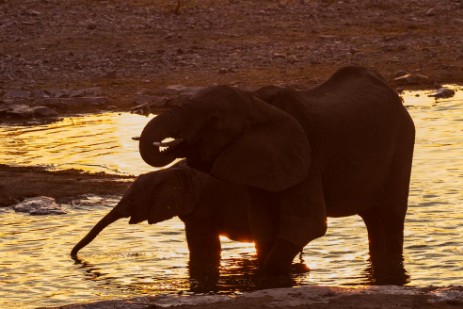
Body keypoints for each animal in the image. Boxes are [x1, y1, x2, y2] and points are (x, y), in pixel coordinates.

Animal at [139, 66, 416, 274]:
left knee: (390, 215)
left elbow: (307, 224)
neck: (257, 103)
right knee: (372, 217)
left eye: (214, 120)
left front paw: (269, 276)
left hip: (403, 142)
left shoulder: (307, 154)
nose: (176, 146)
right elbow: (263, 226)